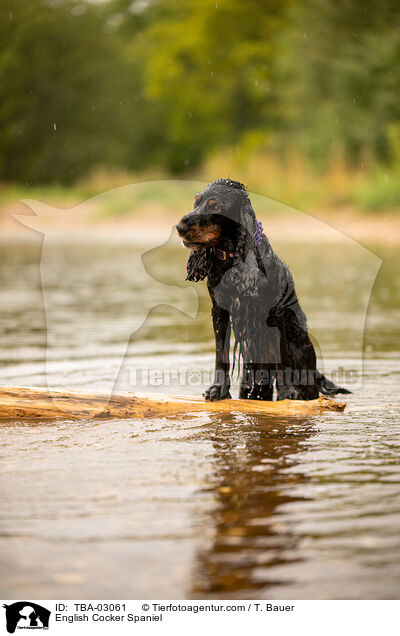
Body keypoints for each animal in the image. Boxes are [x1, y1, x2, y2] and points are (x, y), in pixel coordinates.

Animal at [177, 176, 348, 400]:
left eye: (215, 206)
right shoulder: (220, 311)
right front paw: (218, 389)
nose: (179, 227)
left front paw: (288, 392)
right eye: (196, 203)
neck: (233, 262)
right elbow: (220, 355)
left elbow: (283, 357)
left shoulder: (275, 311)